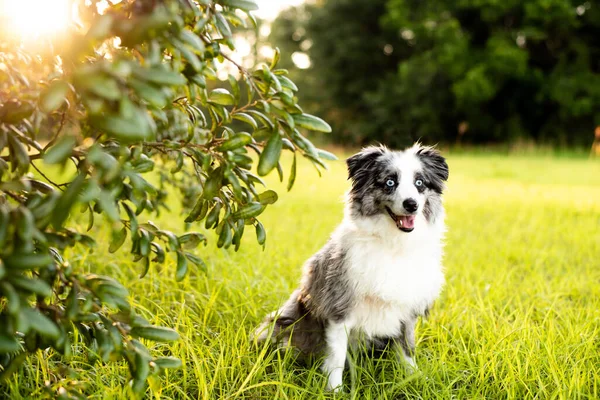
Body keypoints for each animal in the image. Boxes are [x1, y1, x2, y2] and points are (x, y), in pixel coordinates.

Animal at [251, 143, 448, 390]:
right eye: (390, 182)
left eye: (420, 183)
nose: (411, 205)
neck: (393, 244)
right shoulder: (339, 308)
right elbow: (336, 356)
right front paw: (335, 390)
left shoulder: (407, 309)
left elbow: (407, 349)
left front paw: (416, 379)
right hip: (283, 325)